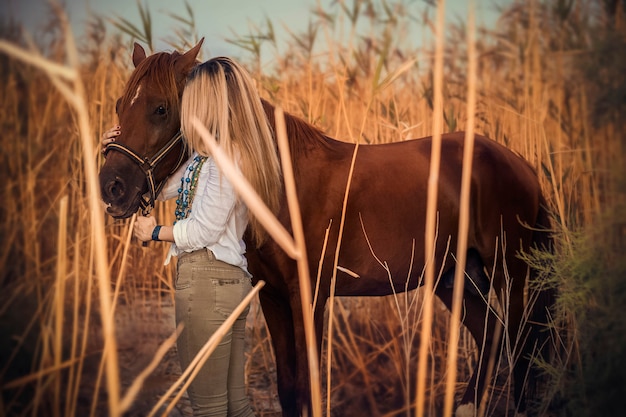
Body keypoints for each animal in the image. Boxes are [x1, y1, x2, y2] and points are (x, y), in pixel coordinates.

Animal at [97, 40, 552, 414]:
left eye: (161, 108)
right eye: (119, 105)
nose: (111, 186)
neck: (279, 180)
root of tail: (521, 163)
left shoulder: (309, 296)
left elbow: (308, 389)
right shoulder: (273, 296)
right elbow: (287, 388)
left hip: (511, 274)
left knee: (522, 346)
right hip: (455, 275)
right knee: (492, 334)